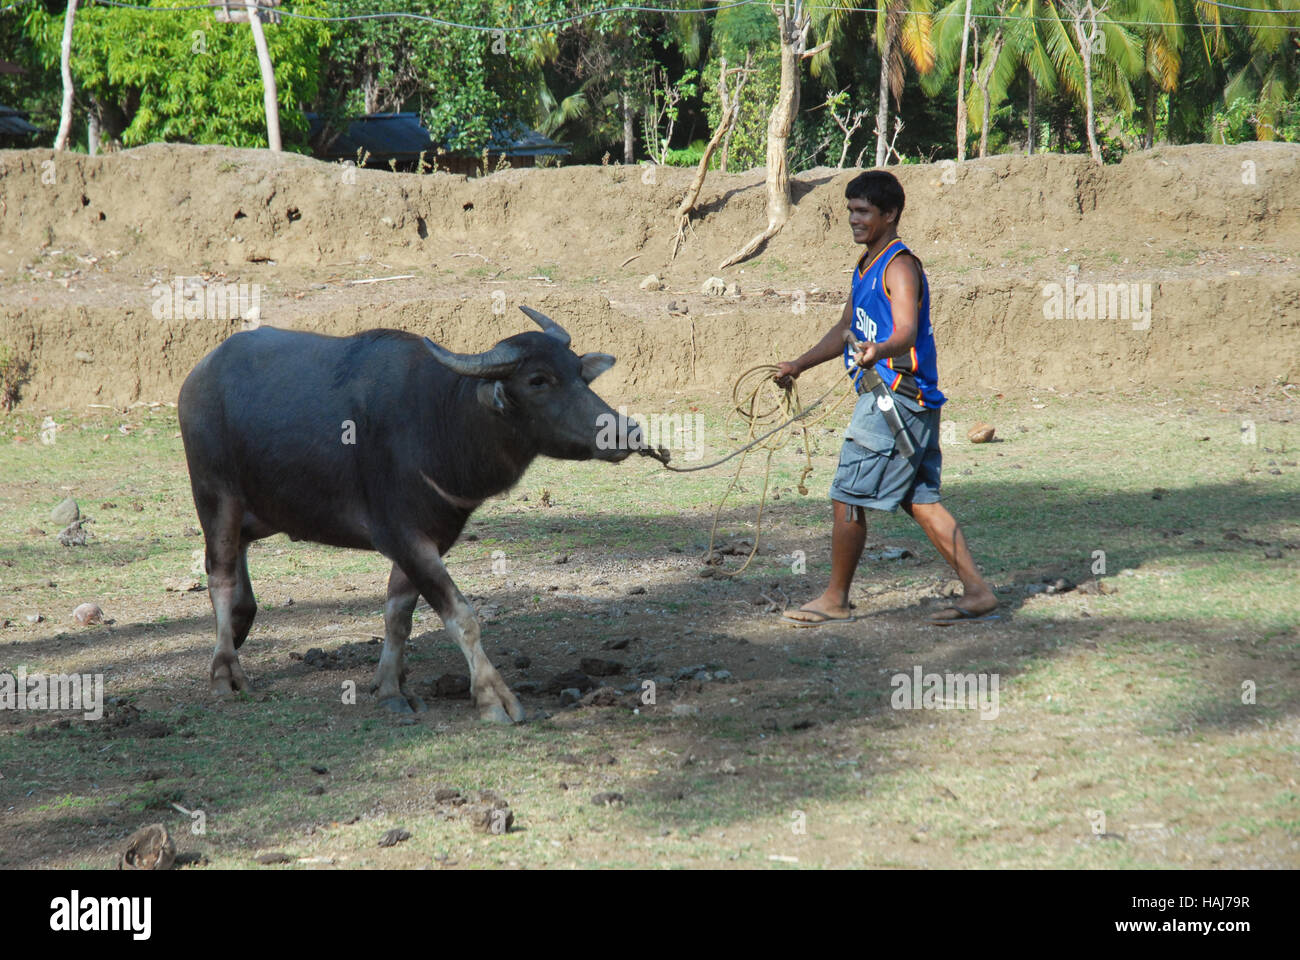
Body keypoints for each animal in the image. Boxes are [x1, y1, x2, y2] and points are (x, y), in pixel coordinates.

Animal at [180, 304, 647, 718]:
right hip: (216, 498)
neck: (439, 421)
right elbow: (461, 615)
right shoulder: (403, 537)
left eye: (579, 372)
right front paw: (494, 698)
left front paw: (391, 689)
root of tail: (196, 379)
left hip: (264, 511)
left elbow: (397, 614)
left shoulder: (426, 539)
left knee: (238, 572)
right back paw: (225, 672)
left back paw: (241, 626)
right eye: (538, 379)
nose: (625, 430)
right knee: (220, 576)